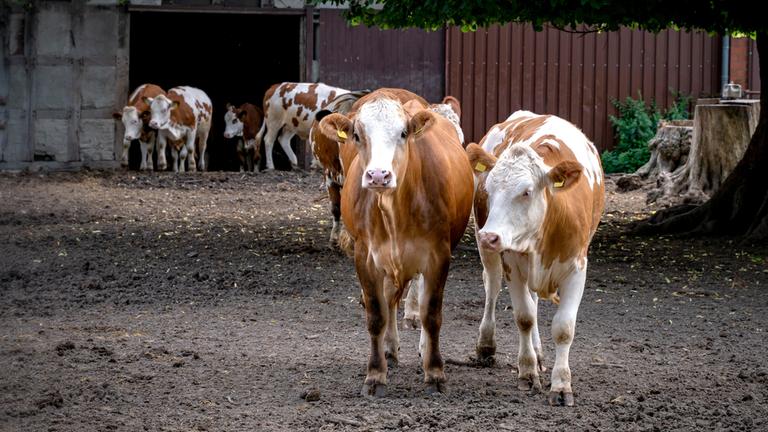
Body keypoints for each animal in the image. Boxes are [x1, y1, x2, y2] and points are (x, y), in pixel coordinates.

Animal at [317, 89, 474, 397]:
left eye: (403, 133)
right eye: (357, 135)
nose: (378, 175)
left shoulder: (438, 255)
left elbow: (431, 313)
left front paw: (435, 372)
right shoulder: (365, 256)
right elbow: (376, 313)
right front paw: (375, 375)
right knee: (389, 298)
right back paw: (389, 348)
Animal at [465, 110, 605, 406]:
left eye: (526, 191)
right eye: (489, 188)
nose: (489, 236)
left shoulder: (577, 268)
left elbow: (564, 327)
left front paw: (561, 384)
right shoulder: (512, 263)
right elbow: (524, 317)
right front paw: (527, 372)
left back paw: (540, 353)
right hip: (491, 255)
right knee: (492, 287)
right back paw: (487, 345)